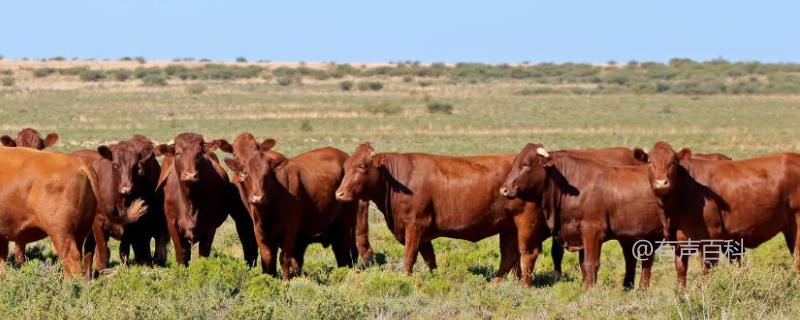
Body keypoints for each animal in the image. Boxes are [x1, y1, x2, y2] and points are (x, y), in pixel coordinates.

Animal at [155, 132, 258, 264]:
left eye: (198, 154)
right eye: (178, 153)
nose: (190, 175)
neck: (190, 202)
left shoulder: (209, 228)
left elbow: (203, 256)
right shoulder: (173, 227)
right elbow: (182, 256)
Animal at [500, 144, 664, 288]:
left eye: (526, 165)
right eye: (514, 164)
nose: (503, 189)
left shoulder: (592, 232)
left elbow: (591, 264)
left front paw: (589, 290)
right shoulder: (577, 232)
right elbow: (582, 264)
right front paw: (584, 286)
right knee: (640, 258)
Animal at [644, 141, 800, 286]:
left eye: (673, 162)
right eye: (650, 162)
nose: (662, 182)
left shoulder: (711, 239)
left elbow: (708, 271)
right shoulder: (678, 243)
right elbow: (681, 272)